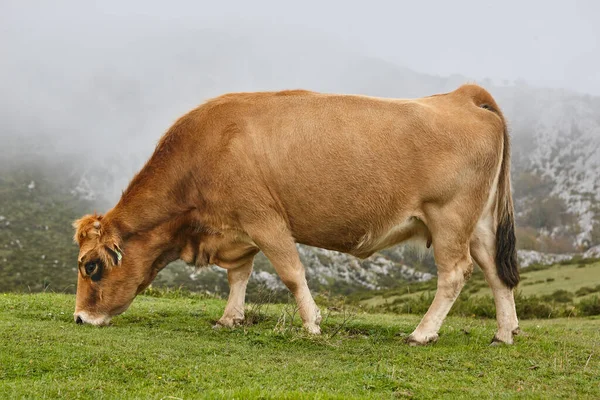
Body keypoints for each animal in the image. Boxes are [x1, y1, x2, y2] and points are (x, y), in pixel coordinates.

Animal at [72, 84, 516, 344]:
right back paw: (505, 332)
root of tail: (461, 95)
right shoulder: (238, 229)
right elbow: (239, 276)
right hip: (479, 224)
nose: (78, 317)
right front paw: (230, 318)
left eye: (91, 266)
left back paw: (422, 334)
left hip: (449, 218)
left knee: (455, 273)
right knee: (497, 273)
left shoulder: (264, 219)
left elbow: (290, 273)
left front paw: (312, 324)